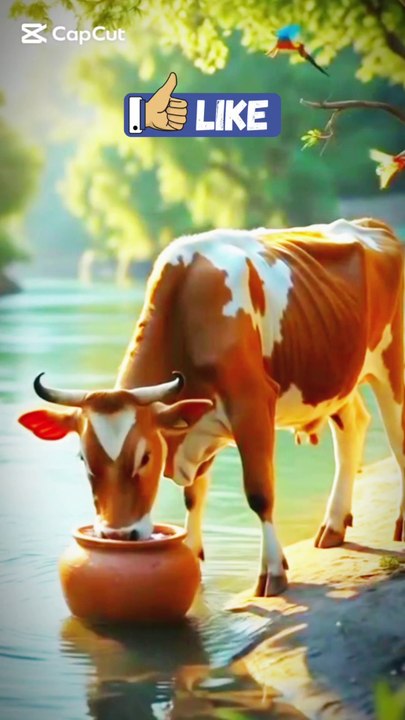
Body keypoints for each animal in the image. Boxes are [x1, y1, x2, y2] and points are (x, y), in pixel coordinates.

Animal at [18, 218, 405, 596]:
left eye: (145, 457)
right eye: (84, 458)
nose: (117, 536)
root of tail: (372, 224)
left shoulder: (252, 404)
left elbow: (260, 493)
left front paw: (273, 572)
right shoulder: (197, 420)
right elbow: (194, 495)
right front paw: (190, 556)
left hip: (391, 365)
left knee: (397, 440)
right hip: (336, 377)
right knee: (353, 425)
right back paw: (334, 525)